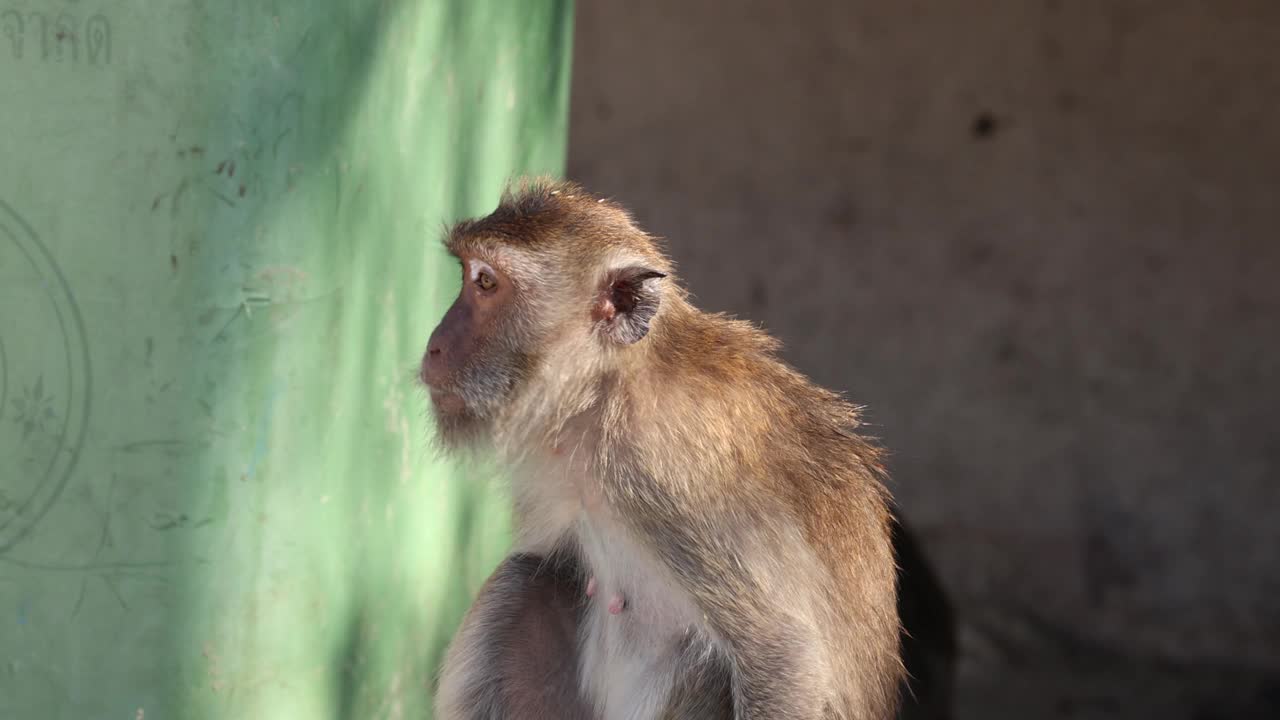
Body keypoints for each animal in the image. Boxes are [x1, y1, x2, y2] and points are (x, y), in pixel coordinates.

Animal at [419, 178, 901, 717]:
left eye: (485, 283)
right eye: (468, 275)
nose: (433, 344)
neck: (606, 388)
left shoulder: (677, 472)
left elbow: (783, 654)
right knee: (526, 578)